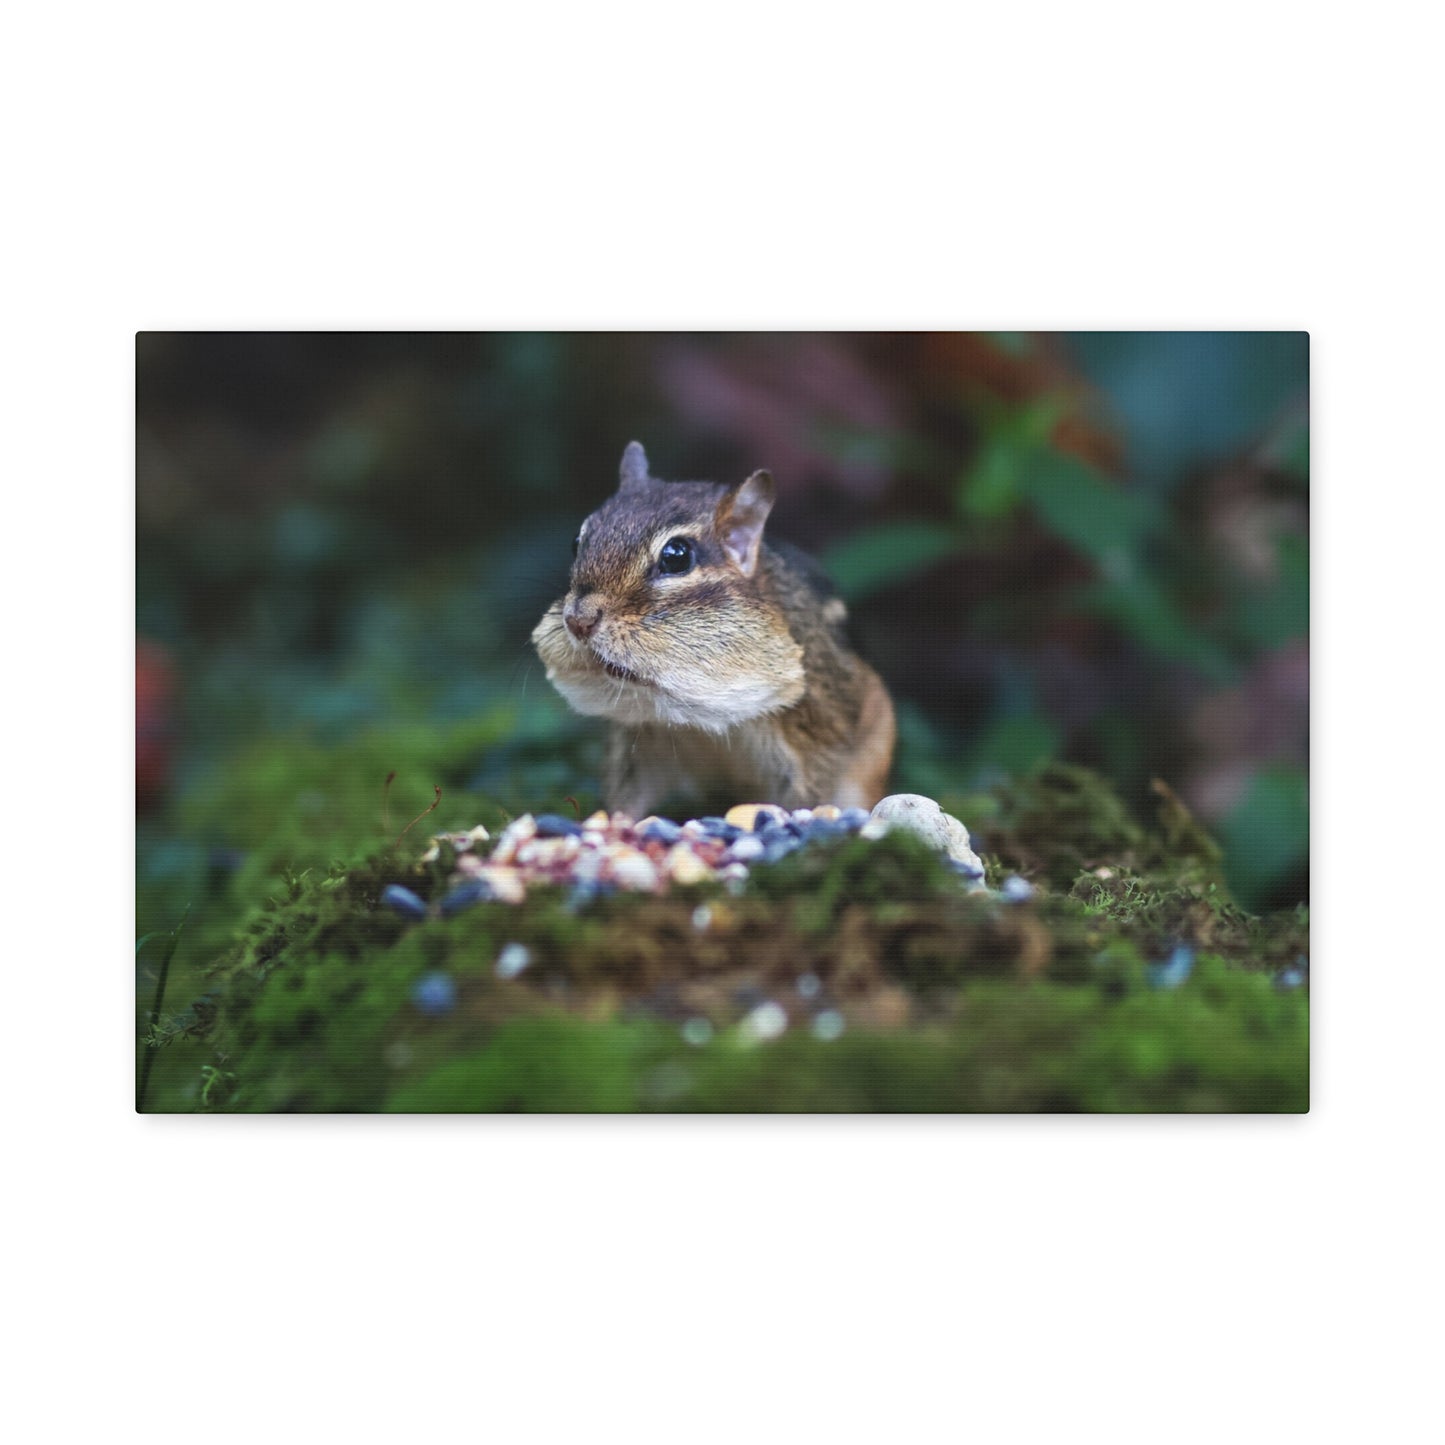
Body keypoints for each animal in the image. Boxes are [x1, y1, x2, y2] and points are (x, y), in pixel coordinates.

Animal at [532, 442, 896, 818]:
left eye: (676, 556)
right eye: (576, 542)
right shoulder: (637, 743)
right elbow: (626, 796)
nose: (579, 621)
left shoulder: (815, 736)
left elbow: (809, 794)